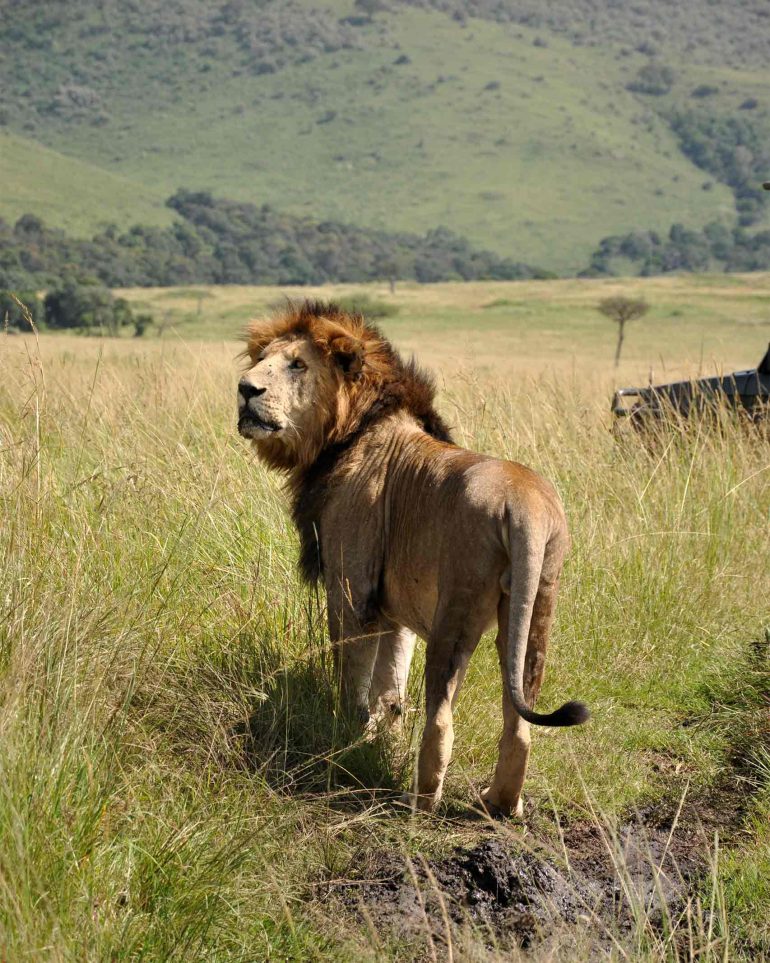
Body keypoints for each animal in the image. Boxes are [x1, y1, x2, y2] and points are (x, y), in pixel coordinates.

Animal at [237, 300, 588, 816]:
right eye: (262, 360)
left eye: (297, 364)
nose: (245, 389)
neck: (348, 430)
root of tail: (524, 506)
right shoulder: (393, 605)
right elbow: (391, 682)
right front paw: (385, 735)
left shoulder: (353, 589)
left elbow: (354, 677)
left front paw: (349, 735)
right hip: (537, 606)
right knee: (520, 723)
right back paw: (500, 804)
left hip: (455, 612)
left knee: (441, 718)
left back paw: (418, 801)